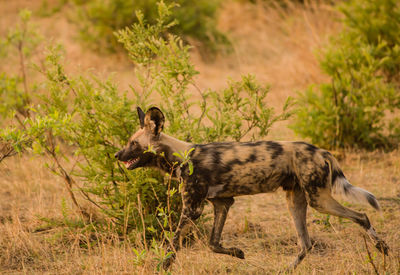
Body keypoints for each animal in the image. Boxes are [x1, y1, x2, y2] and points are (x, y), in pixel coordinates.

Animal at [114, 106, 390, 270]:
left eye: (133, 144)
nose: (117, 154)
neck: (181, 155)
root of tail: (321, 150)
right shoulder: (222, 203)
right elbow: (212, 243)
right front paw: (237, 253)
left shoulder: (192, 210)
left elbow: (172, 246)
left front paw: (160, 267)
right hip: (296, 201)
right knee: (306, 243)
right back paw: (286, 270)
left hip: (319, 201)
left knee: (362, 216)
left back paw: (381, 247)